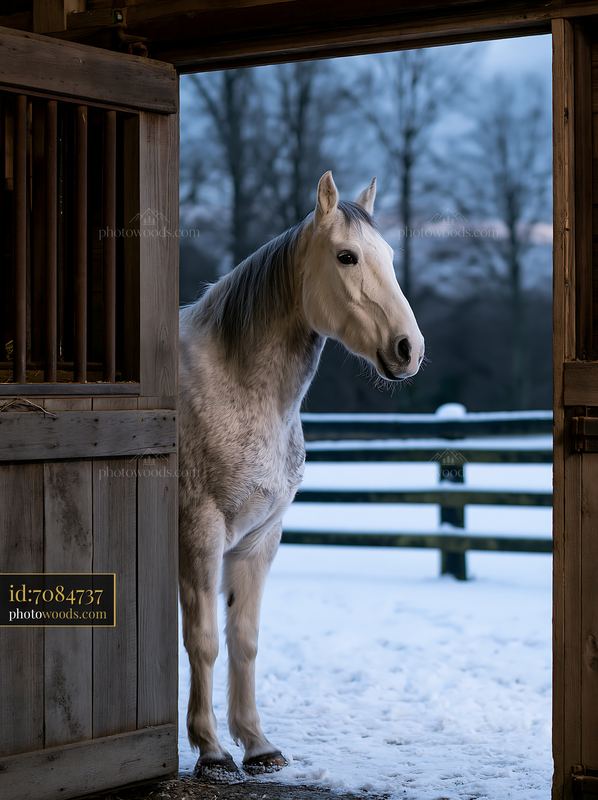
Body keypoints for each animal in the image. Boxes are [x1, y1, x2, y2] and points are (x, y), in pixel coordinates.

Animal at [178, 171, 425, 781]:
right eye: (346, 256)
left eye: (389, 256)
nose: (409, 349)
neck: (236, 387)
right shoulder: (199, 535)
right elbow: (204, 641)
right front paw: (212, 752)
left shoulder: (260, 539)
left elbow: (244, 640)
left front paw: (258, 746)